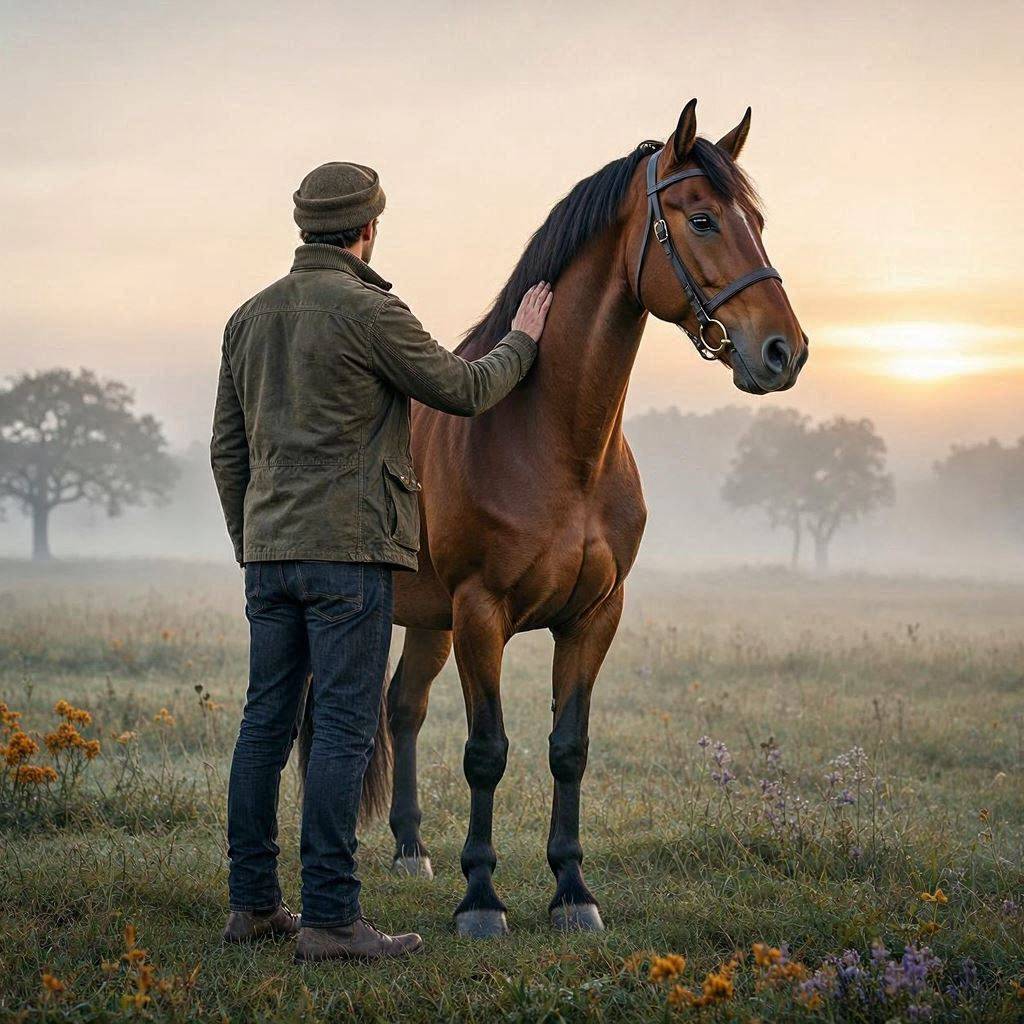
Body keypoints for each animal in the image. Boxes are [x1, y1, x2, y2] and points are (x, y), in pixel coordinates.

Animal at [307, 99, 808, 938]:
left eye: (759, 222)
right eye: (702, 218)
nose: (784, 351)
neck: (558, 443)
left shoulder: (592, 617)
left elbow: (568, 747)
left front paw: (573, 892)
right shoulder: (481, 615)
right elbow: (487, 751)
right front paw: (482, 900)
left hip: (427, 620)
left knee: (402, 707)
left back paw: (410, 850)